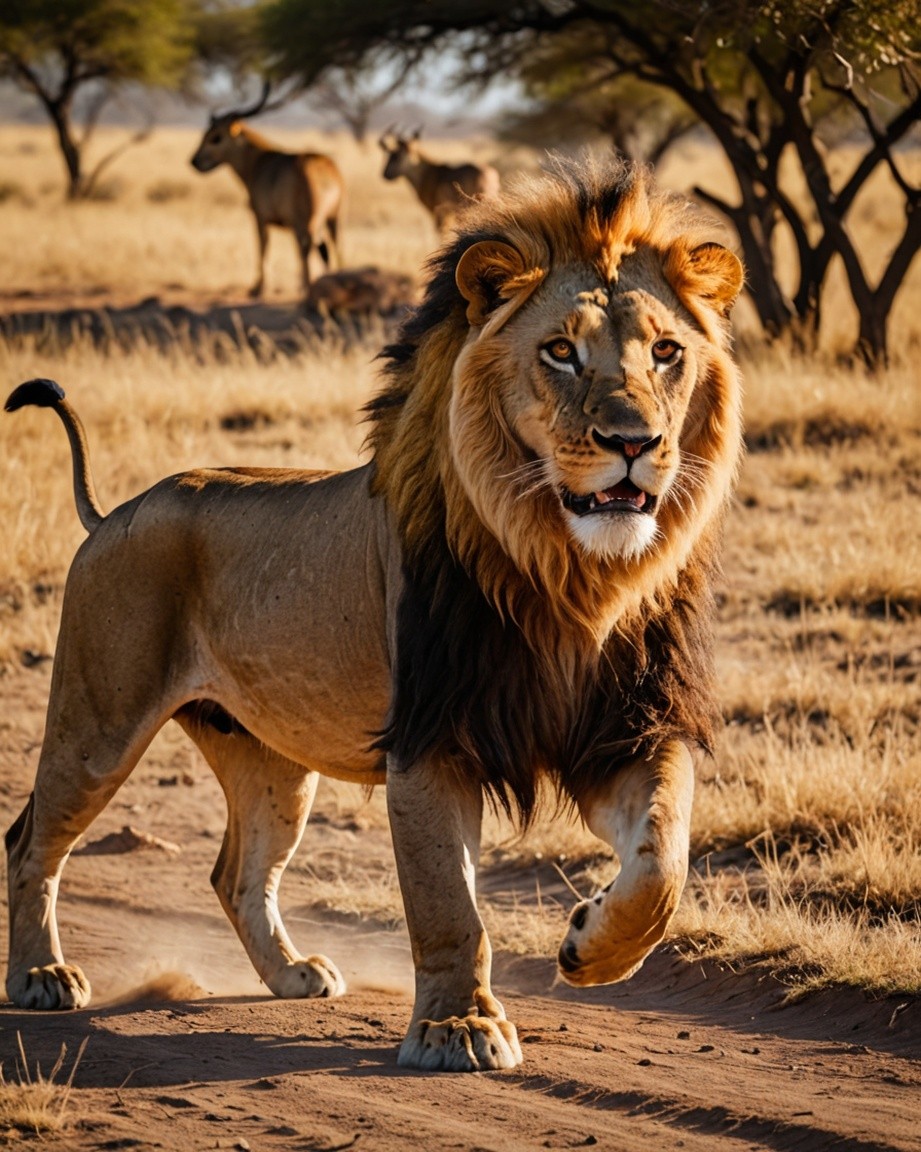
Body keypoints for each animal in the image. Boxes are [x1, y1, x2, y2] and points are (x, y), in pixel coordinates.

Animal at [4, 157, 743, 1073]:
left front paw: (590, 947)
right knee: (33, 840)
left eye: (667, 352)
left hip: (270, 760)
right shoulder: (430, 738)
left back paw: (291, 974)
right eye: (560, 352)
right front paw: (458, 1029)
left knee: (238, 872)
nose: (634, 442)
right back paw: (40, 975)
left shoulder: (623, 731)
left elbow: (662, 858)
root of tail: (113, 513)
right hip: (99, 722)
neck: (569, 576)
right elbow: (446, 903)